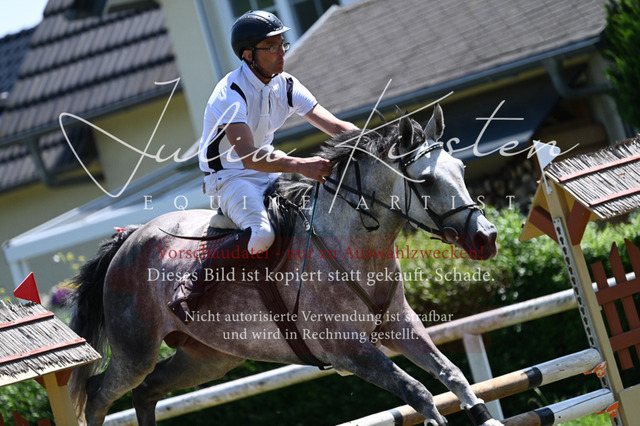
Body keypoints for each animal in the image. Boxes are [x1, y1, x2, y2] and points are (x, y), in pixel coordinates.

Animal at [68, 104, 500, 426]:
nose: (487, 238)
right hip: (135, 353)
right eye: (426, 182)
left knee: (148, 391)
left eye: (462, 170)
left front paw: (485, 415)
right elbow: (419, 392)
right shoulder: (350, 351)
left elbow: (451, 373)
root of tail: (129, 238)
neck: (353, 244)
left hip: (208, 358)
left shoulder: (399, 325)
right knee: (98, 395)